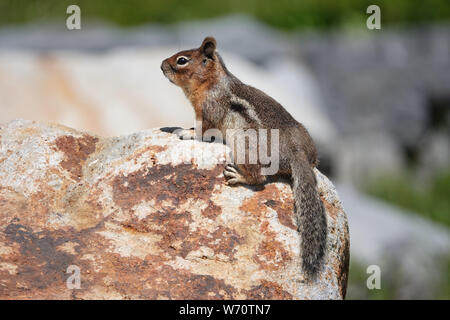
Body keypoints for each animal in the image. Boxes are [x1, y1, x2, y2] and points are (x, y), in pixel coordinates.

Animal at [162, 36, 326, 278]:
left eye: (182, 60)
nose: (161, 65)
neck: (211, 82)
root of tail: (298, 155)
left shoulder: (209, 111)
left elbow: (202, 131)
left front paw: (187, 132)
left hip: (242, 144)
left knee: (259, 178)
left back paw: (238, 176)